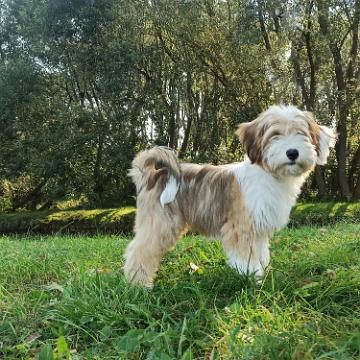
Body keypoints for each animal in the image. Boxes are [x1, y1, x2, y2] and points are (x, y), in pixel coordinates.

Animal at [123, 104, 334, 286]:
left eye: (302, 134)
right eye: (275, 135)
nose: (292, 152)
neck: (270, 175)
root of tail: (153, 174)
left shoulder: (258, 231)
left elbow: (261, 255)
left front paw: (264, 277)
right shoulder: (240, 229)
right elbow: (248, 260)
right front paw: (254, 282)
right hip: (160, 224)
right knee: (138, 251)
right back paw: (138, 285)